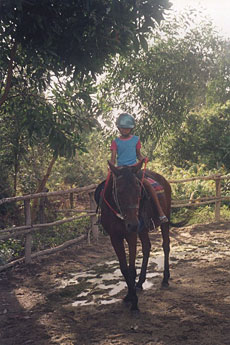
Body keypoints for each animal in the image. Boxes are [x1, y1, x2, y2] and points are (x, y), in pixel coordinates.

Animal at [95, 160, 174, 310]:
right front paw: (129, 296)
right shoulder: (115, 237)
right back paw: (140, 282)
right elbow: (124, 269)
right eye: (119, 191)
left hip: (164, 220)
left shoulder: (131, 235)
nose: (132, 224)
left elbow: (131, 269)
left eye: (138, 190)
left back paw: (165, 278)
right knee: (147, 247)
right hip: (142, 229)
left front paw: (134, 303)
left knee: (166, 246)